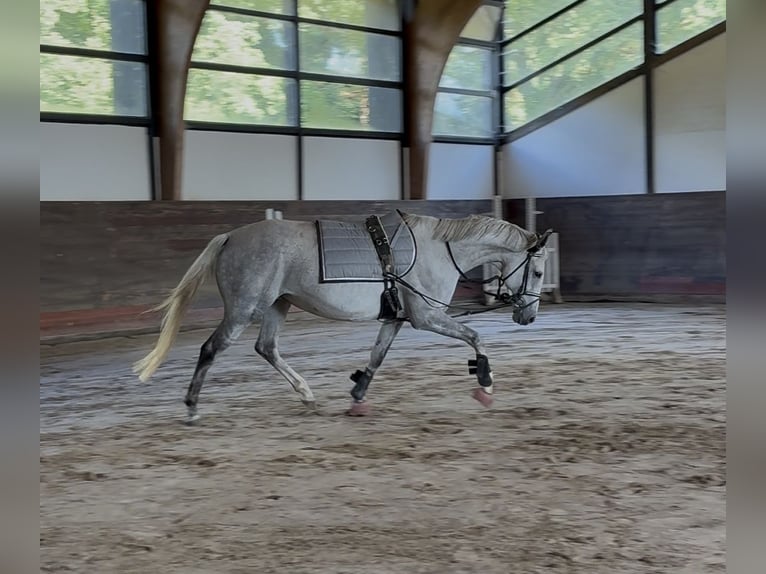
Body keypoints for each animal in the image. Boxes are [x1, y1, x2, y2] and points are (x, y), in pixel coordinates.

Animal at [132, 211, 553, 422]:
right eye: (537, 271)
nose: (529, 317)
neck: (440, 249)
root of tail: (231, 237)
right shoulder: (426, 316)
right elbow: (475, 337)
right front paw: (485, 385)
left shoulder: (396, 318)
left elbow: (376, 357)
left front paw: (357, 397)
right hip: (243, 308)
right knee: (210, 349)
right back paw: (191, 407)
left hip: (277, 304)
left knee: (266, 348)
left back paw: (305, 394)